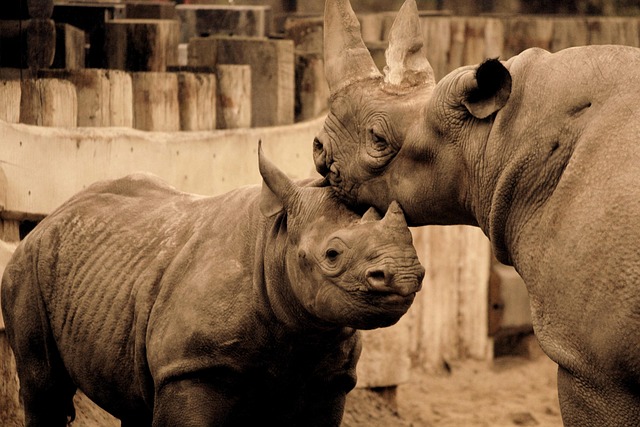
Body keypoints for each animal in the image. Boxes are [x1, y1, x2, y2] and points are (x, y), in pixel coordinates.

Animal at [1, 143, 425, 426]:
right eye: (332, 254)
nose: (405, 274)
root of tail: (51, 216)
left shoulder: (330, 380)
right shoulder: (191, 367)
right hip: (28, 265)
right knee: (42, 386)